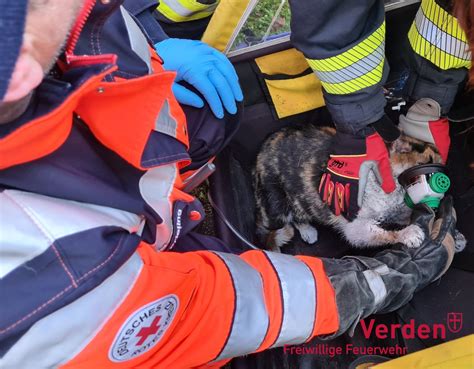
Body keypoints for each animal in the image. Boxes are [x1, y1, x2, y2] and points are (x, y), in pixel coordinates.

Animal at [254, 124, 462, 250]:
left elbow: (409, 215)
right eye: (428, 163)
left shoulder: (395, 210)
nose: (444, 181)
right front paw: (409, 233)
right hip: (279, 200)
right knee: (292, 219)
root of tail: (264, 145)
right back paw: (306, 232)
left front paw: (455, 235)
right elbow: (383, 233)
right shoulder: (355, 227)